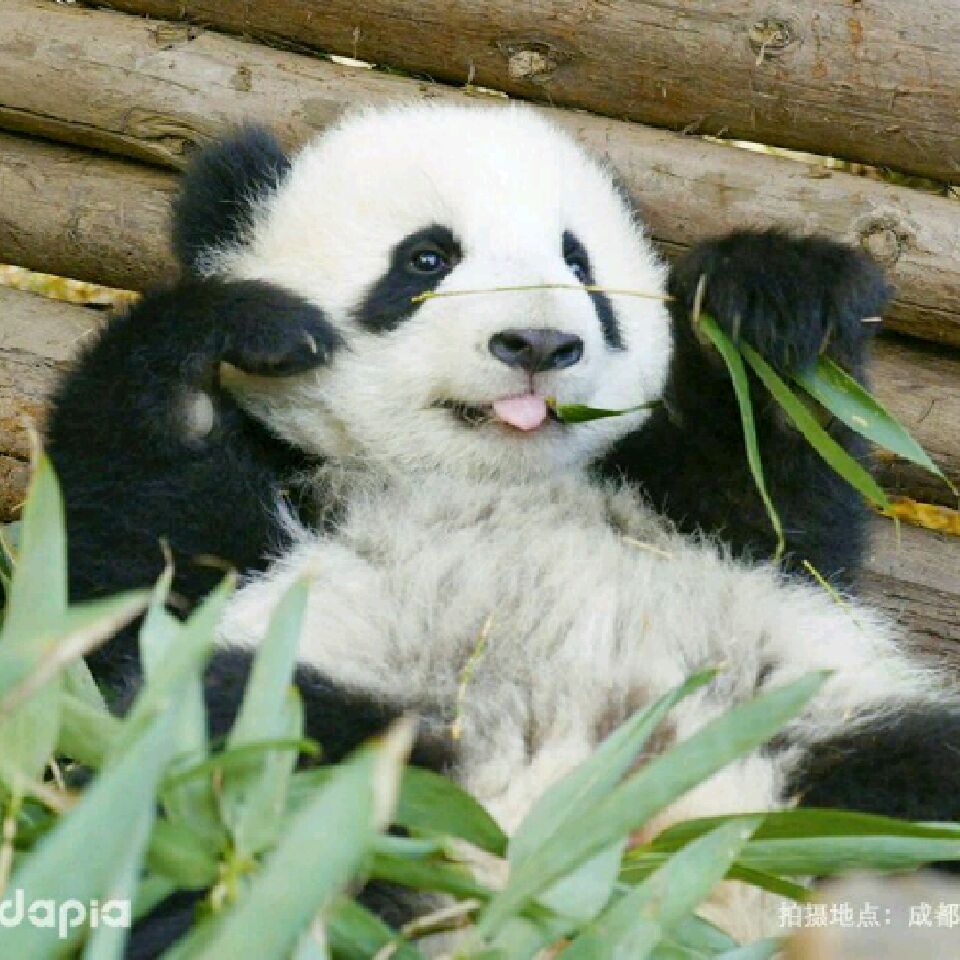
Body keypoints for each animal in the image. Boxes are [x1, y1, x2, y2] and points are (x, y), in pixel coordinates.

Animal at [46, 103, 960, 952]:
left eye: (579, 262)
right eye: (425, 258)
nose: (539, 342)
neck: (482, 479)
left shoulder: (673, 511)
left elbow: (778, 508)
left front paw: (768, 299)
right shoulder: (278, 520)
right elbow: (132, 562)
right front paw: (229, 336)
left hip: (804, 737)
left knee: (912, 778)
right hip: (343, 725)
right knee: (216, 773)